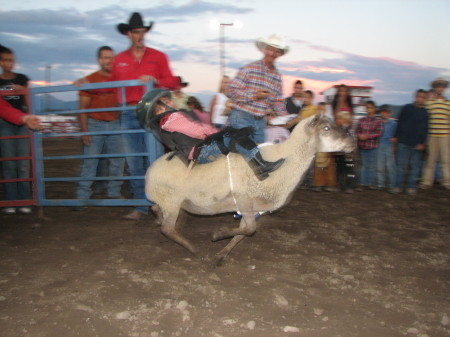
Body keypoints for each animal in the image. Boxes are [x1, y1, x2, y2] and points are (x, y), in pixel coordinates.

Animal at [145, 114, 356, 264]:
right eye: (326, 128)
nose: (352, 142)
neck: (285, 160)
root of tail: (149, 173)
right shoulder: (244, 199)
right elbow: (250, 230)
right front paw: (218, 234)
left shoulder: (253, 207)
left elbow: (243, 232)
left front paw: (221, 255)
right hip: (171, 200)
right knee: (167, 229)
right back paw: (192, 247)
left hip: (175, 202)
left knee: (159, 213)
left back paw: (159, 218)